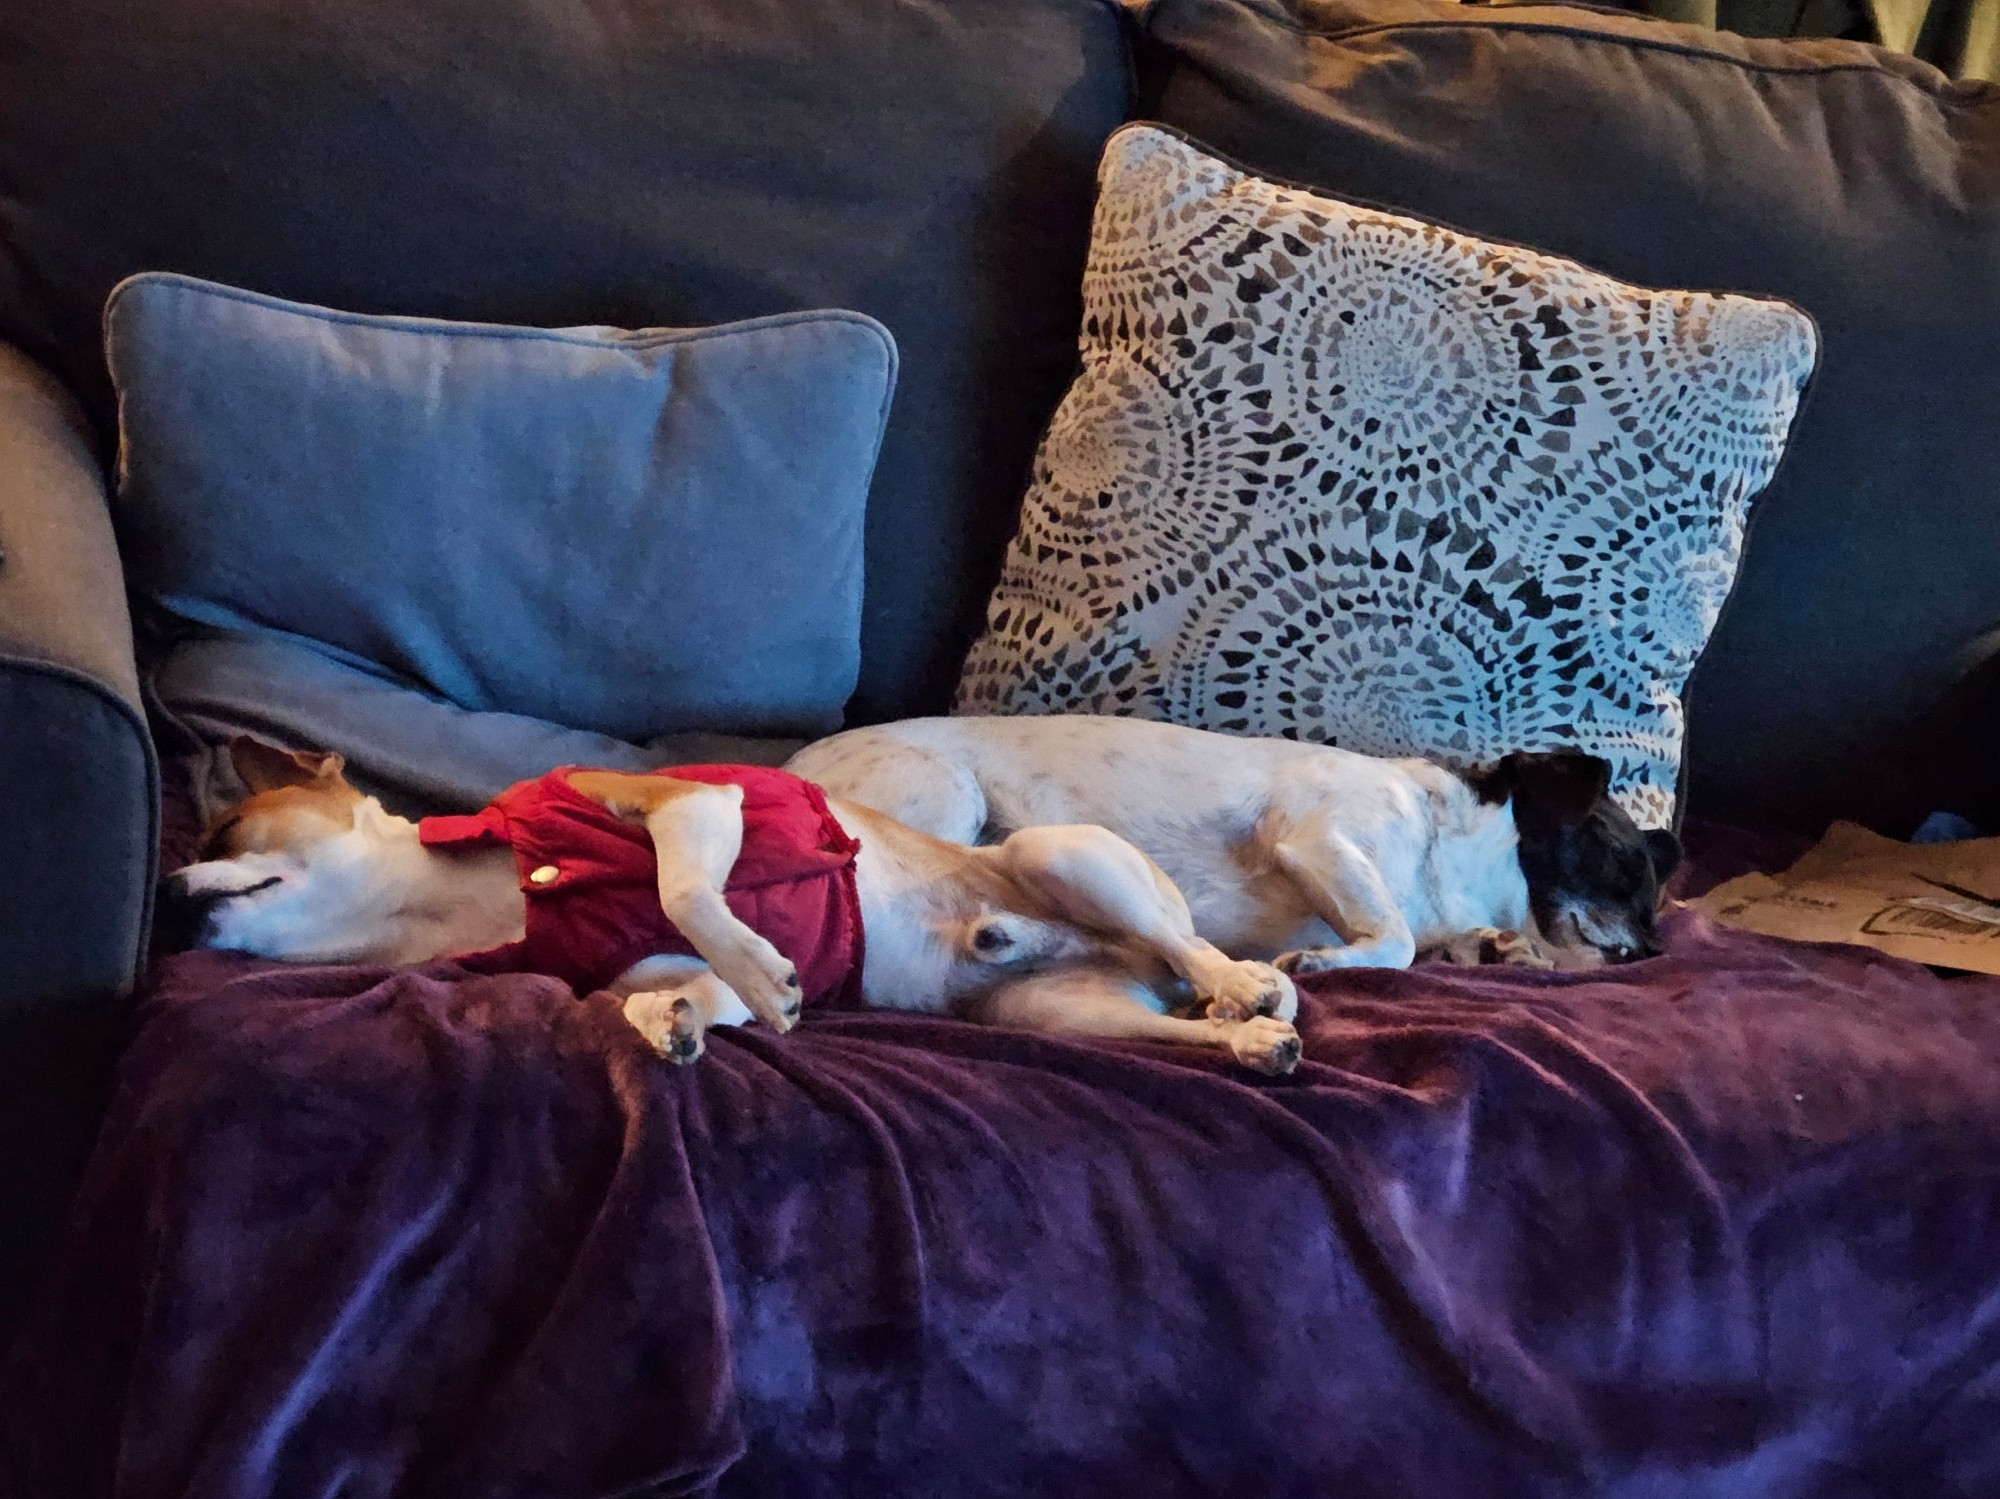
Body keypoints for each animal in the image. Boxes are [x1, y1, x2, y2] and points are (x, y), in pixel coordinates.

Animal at [160, 735, 1312, 1071]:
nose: (165, 889)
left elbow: (686, 888)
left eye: (225, 837)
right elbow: (672, 990)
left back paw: (1245, 985)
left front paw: (763, 970)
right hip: (1054, 1009)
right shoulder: (648, 959)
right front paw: (683, 1018)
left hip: (1062, 852)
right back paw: (1252, 1041)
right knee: (1169, 1025)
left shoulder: (689, 805)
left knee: (1188, 948)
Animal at [788, 719, 1680, 975]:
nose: (1653, 951)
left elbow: (1434, 940)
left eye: (1655, 899)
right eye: (1624, 863)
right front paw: (1323, 962)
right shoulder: (1317, 840)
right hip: (950, 795)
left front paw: (1495, 947)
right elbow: (1391, 937)